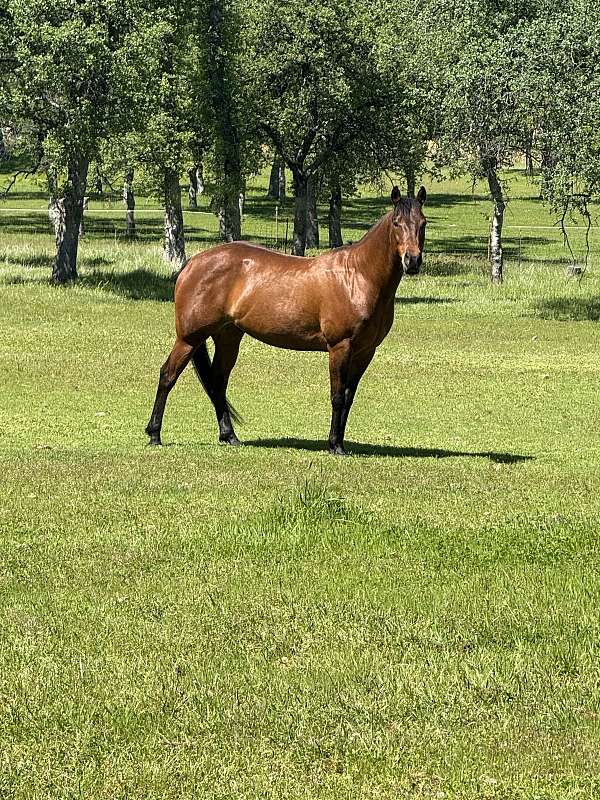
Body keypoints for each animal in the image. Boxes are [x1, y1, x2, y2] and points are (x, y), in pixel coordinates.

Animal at [146, 185, 427, 455]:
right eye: (397, 223)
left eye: (423, 223)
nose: (412, 261)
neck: (358, 277)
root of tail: (192, 264)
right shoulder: (340, 347)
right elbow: (337, 396)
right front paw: (334, 446)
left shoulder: (365, 351)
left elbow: (348, 397)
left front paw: (340, 442)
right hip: (189, 338)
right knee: (168, 376)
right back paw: (154, 435)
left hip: (227, 337)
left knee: (217, 381)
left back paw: (230, 436)